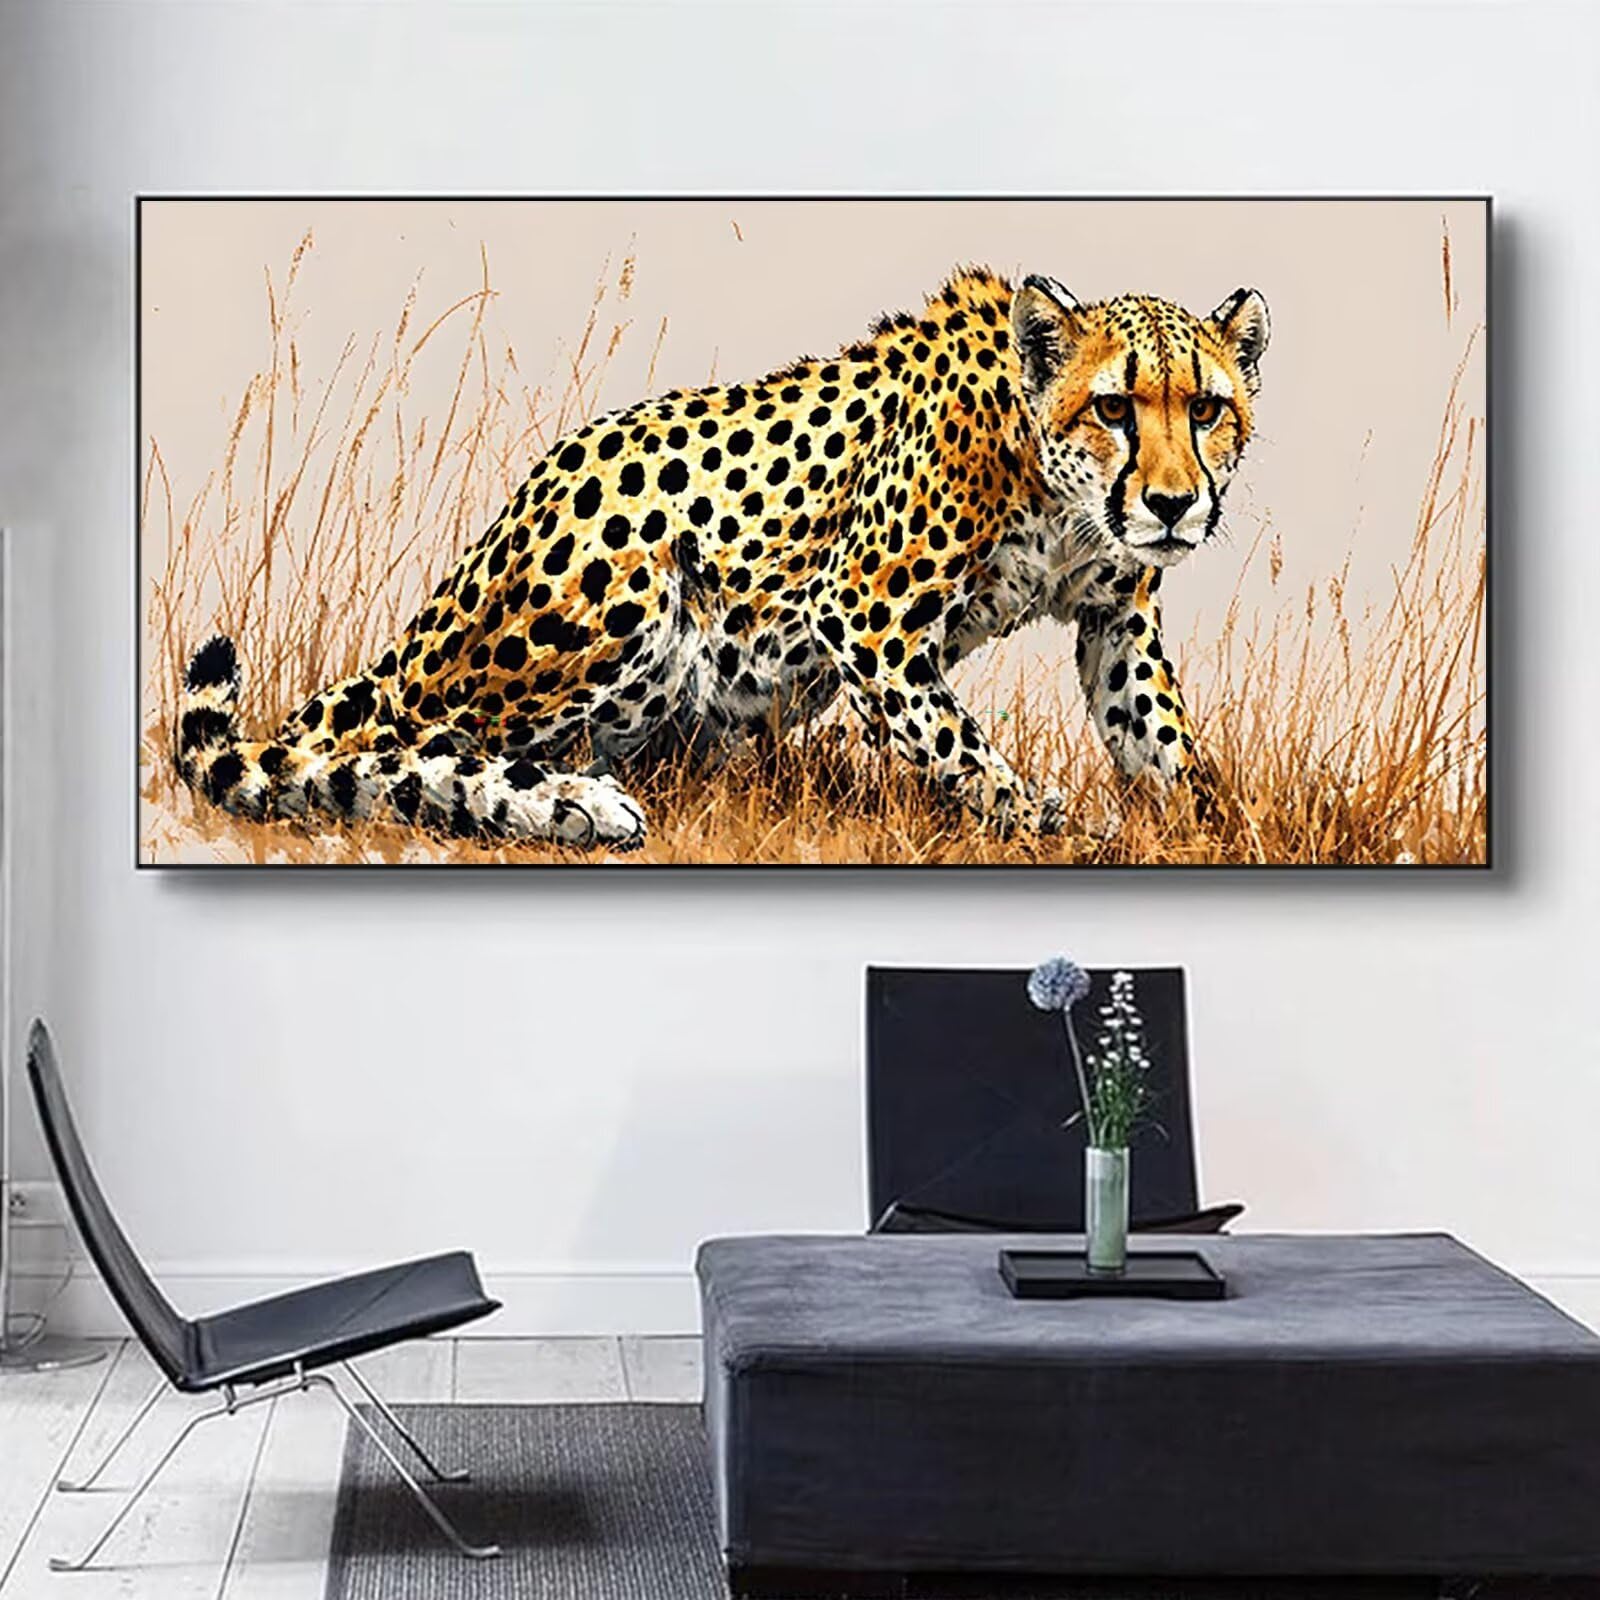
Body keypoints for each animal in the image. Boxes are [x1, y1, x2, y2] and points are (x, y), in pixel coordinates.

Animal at [176, 267, 1269, 851]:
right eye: (1115, 406)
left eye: (1207, 408)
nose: (1173, 505)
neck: (1057, 487)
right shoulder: (863, 617)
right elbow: (963, 749)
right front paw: (1053, 826)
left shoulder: (1115, 617)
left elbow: (1158, 737)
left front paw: (1207, 829)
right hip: (625, 592)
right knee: (385, 744)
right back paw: (560, 803)